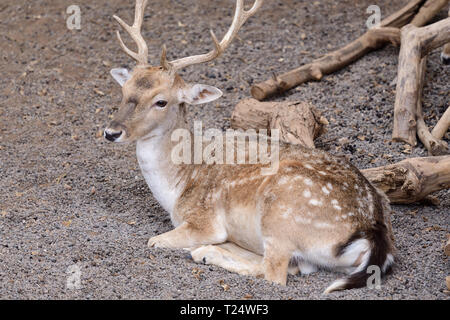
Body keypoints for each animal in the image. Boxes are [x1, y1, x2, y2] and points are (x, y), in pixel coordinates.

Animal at [104, 0, 394, 294]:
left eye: (161, 101)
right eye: (124, 91)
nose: (111, 132)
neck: (177, 187)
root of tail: (373, 233)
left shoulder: (204, 220)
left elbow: (155, 240)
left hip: (281, 213)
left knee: (275, 272)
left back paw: (205, 252)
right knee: (295, 265)